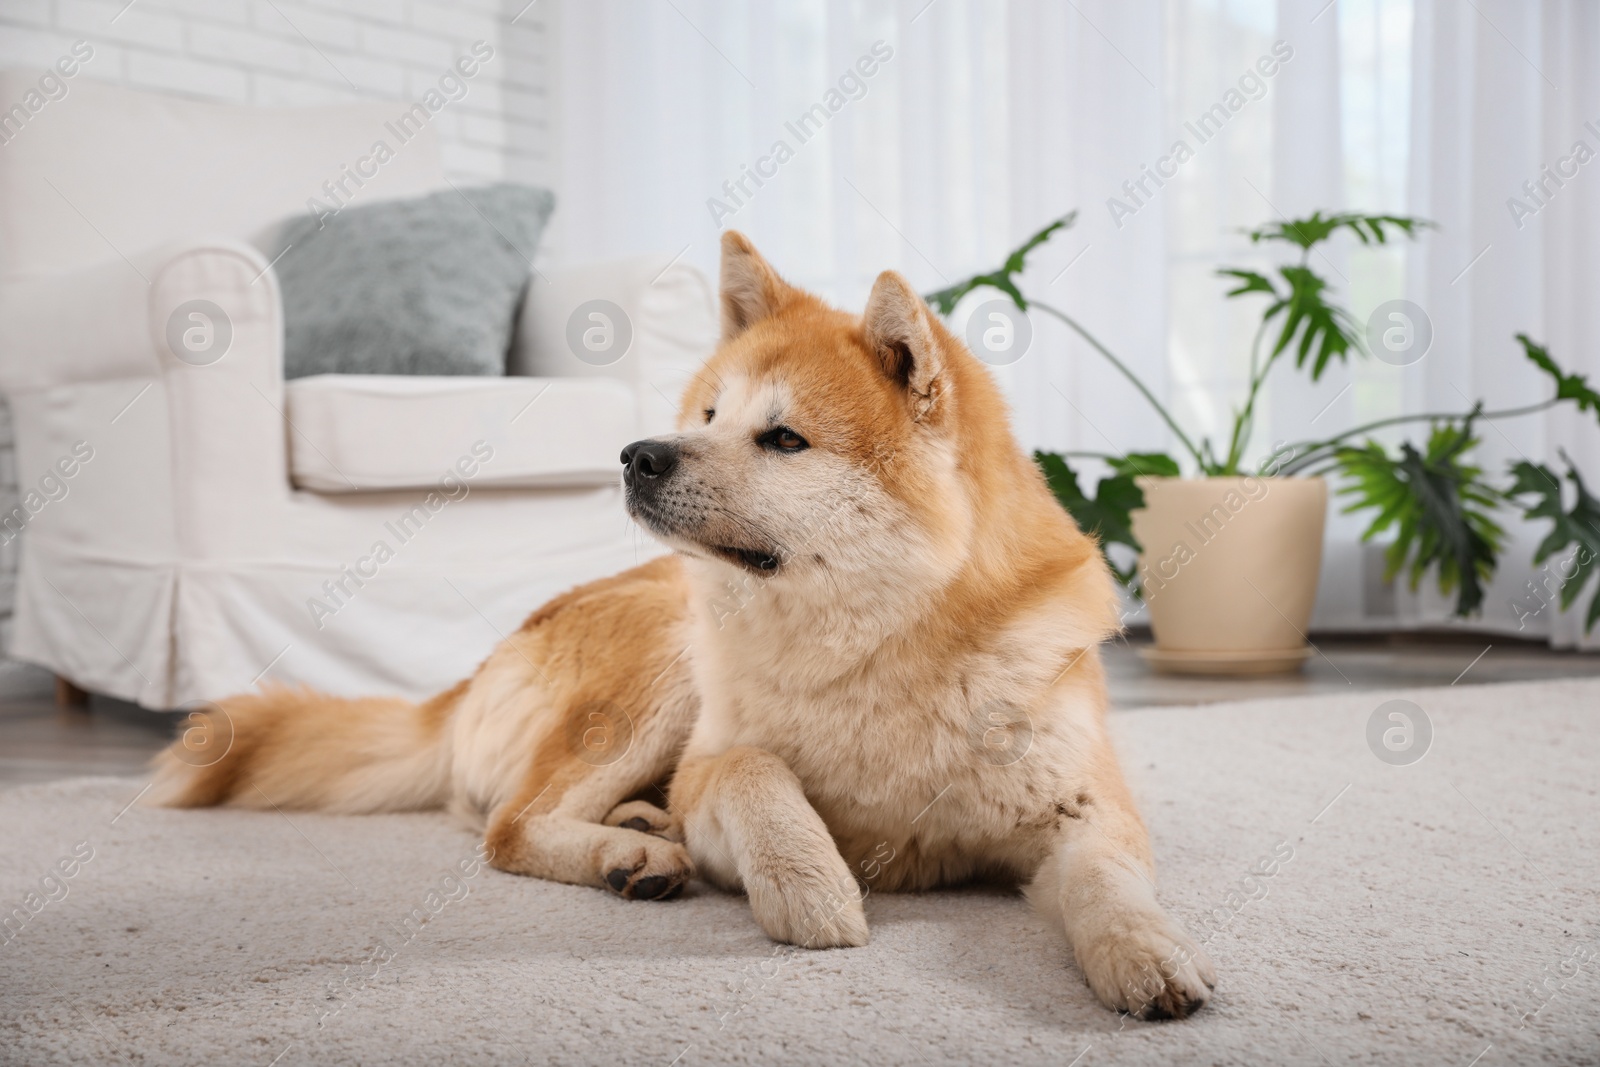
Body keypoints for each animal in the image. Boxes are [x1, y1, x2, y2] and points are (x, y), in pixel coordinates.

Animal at [156, 231, 1216, 1017]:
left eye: (783, 438)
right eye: (706, 414)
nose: (638, 453)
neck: (878, 649)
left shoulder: (1081, 805)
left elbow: (1111, 884)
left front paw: (1149, 954)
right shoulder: (717, 759)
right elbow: (754, 772)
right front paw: (808, 882)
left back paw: (636, 828)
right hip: (661, 668)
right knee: (506, 825)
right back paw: (631, 850)